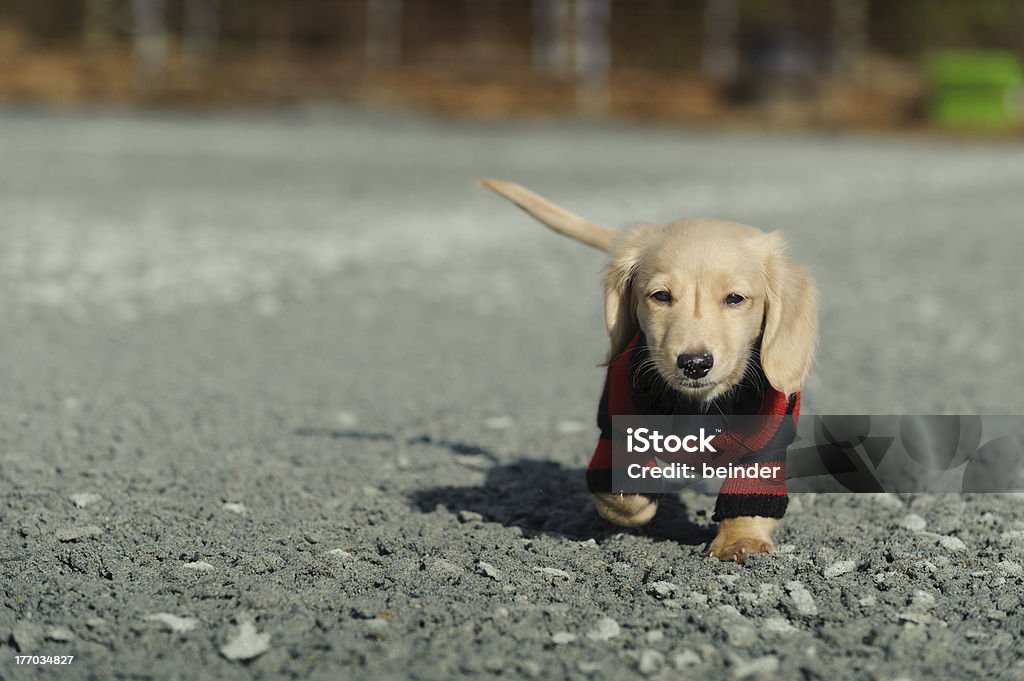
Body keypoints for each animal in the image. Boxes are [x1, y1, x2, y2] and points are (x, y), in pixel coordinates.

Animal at [483, 178, 819, 561]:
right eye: (660, 296)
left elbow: (750, 494)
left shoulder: (767, 439)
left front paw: (740, 540)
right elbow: (625, 496)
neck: (697, 406)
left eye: (735, 298)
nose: (694, 364)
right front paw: (638, 501)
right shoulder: (618, 424)